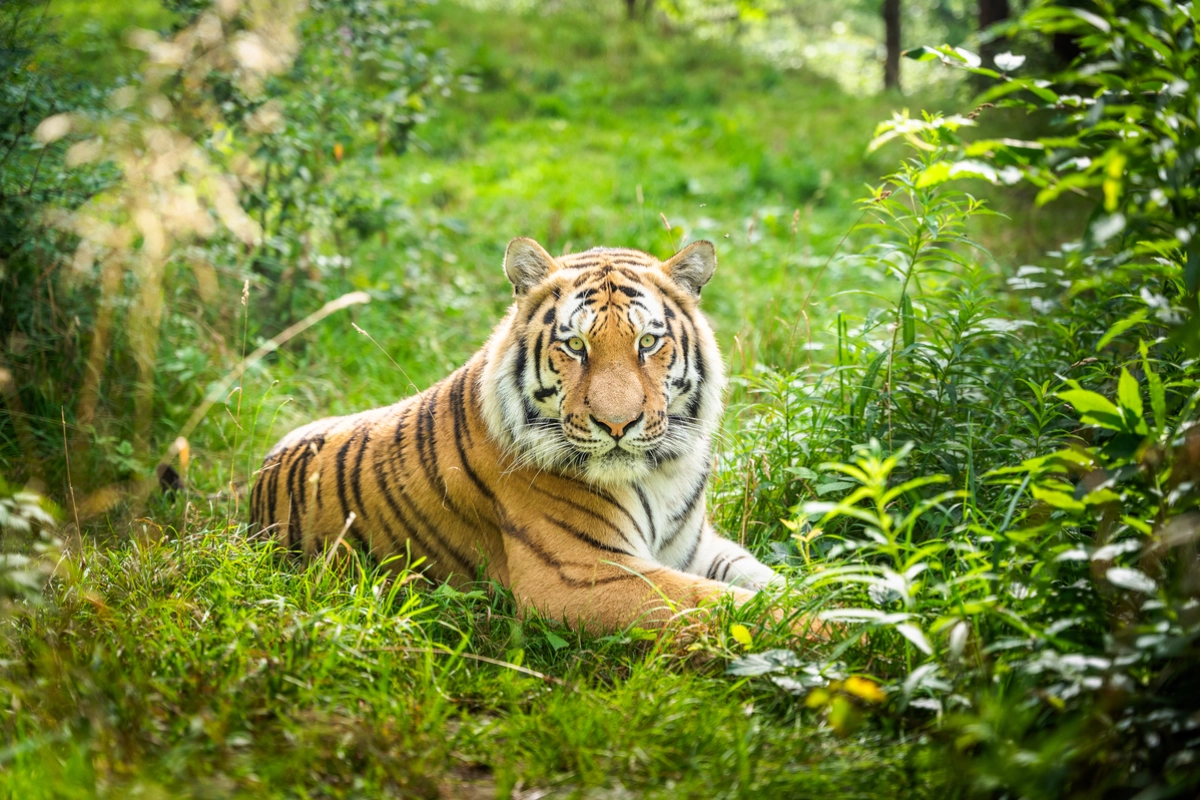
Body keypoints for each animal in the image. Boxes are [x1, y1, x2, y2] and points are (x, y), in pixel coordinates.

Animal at [250, 237, 782, 631]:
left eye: (648, 342)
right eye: (575, 345)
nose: (617, 424)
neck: (661, 475)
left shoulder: (697, 547)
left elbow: (772, 583)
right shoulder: (583, 576)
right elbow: (731, 606)